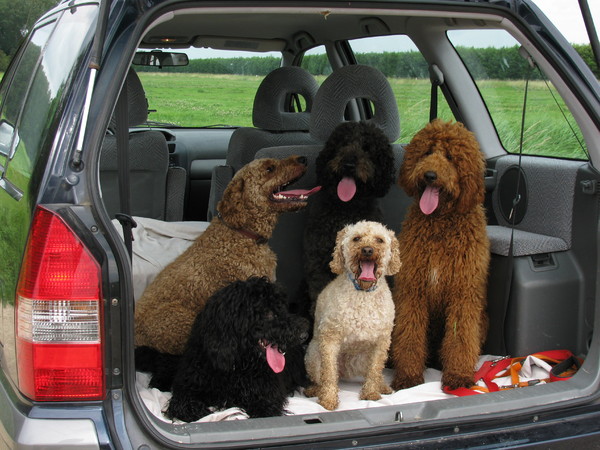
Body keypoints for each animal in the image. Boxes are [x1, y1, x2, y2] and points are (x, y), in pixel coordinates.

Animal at [164, 277, 309, 422]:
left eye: (282, 308)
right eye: (268, 313)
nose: (304, 335)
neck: (237, 365)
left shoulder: (267, 397)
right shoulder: (187, 385)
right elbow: (181, 404)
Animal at [304, 220, 401, 410]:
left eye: (379, 240)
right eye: (356, 238)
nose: (367, 250)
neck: (363, 292)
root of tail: (346, 371)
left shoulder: (382, 341)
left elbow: (375, 370)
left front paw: (371, 393)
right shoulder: (330, 338)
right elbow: (329, 373)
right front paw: (328, 400)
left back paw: (382, 386)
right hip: (313, 354)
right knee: (322, 377)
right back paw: (314, 390)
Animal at [390, 119, 490, 391]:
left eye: (450, 157)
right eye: (427, 152)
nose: (430, 176)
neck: (440, 223)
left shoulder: (463, 293)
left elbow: (460, 338)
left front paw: (458, 376)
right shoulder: (412, 290)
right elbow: (409, 336)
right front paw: (408, 378)